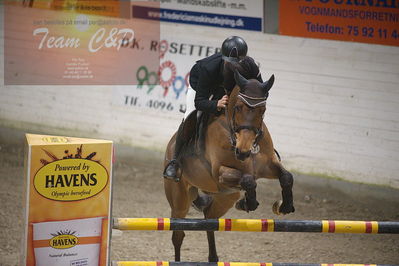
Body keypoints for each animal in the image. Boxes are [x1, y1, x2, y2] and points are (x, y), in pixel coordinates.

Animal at [164, 57, 296, 262]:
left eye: (263, 110)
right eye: (238, 107)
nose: (243, 151)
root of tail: (170, 148)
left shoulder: (267, 166)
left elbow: (287, 176)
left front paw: (284, 205)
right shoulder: (219, 173)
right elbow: (248, 180)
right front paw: (248, 203)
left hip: (225, 197)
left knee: (209, 218)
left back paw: (213, 257)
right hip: (180, 201)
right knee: (178, 235)